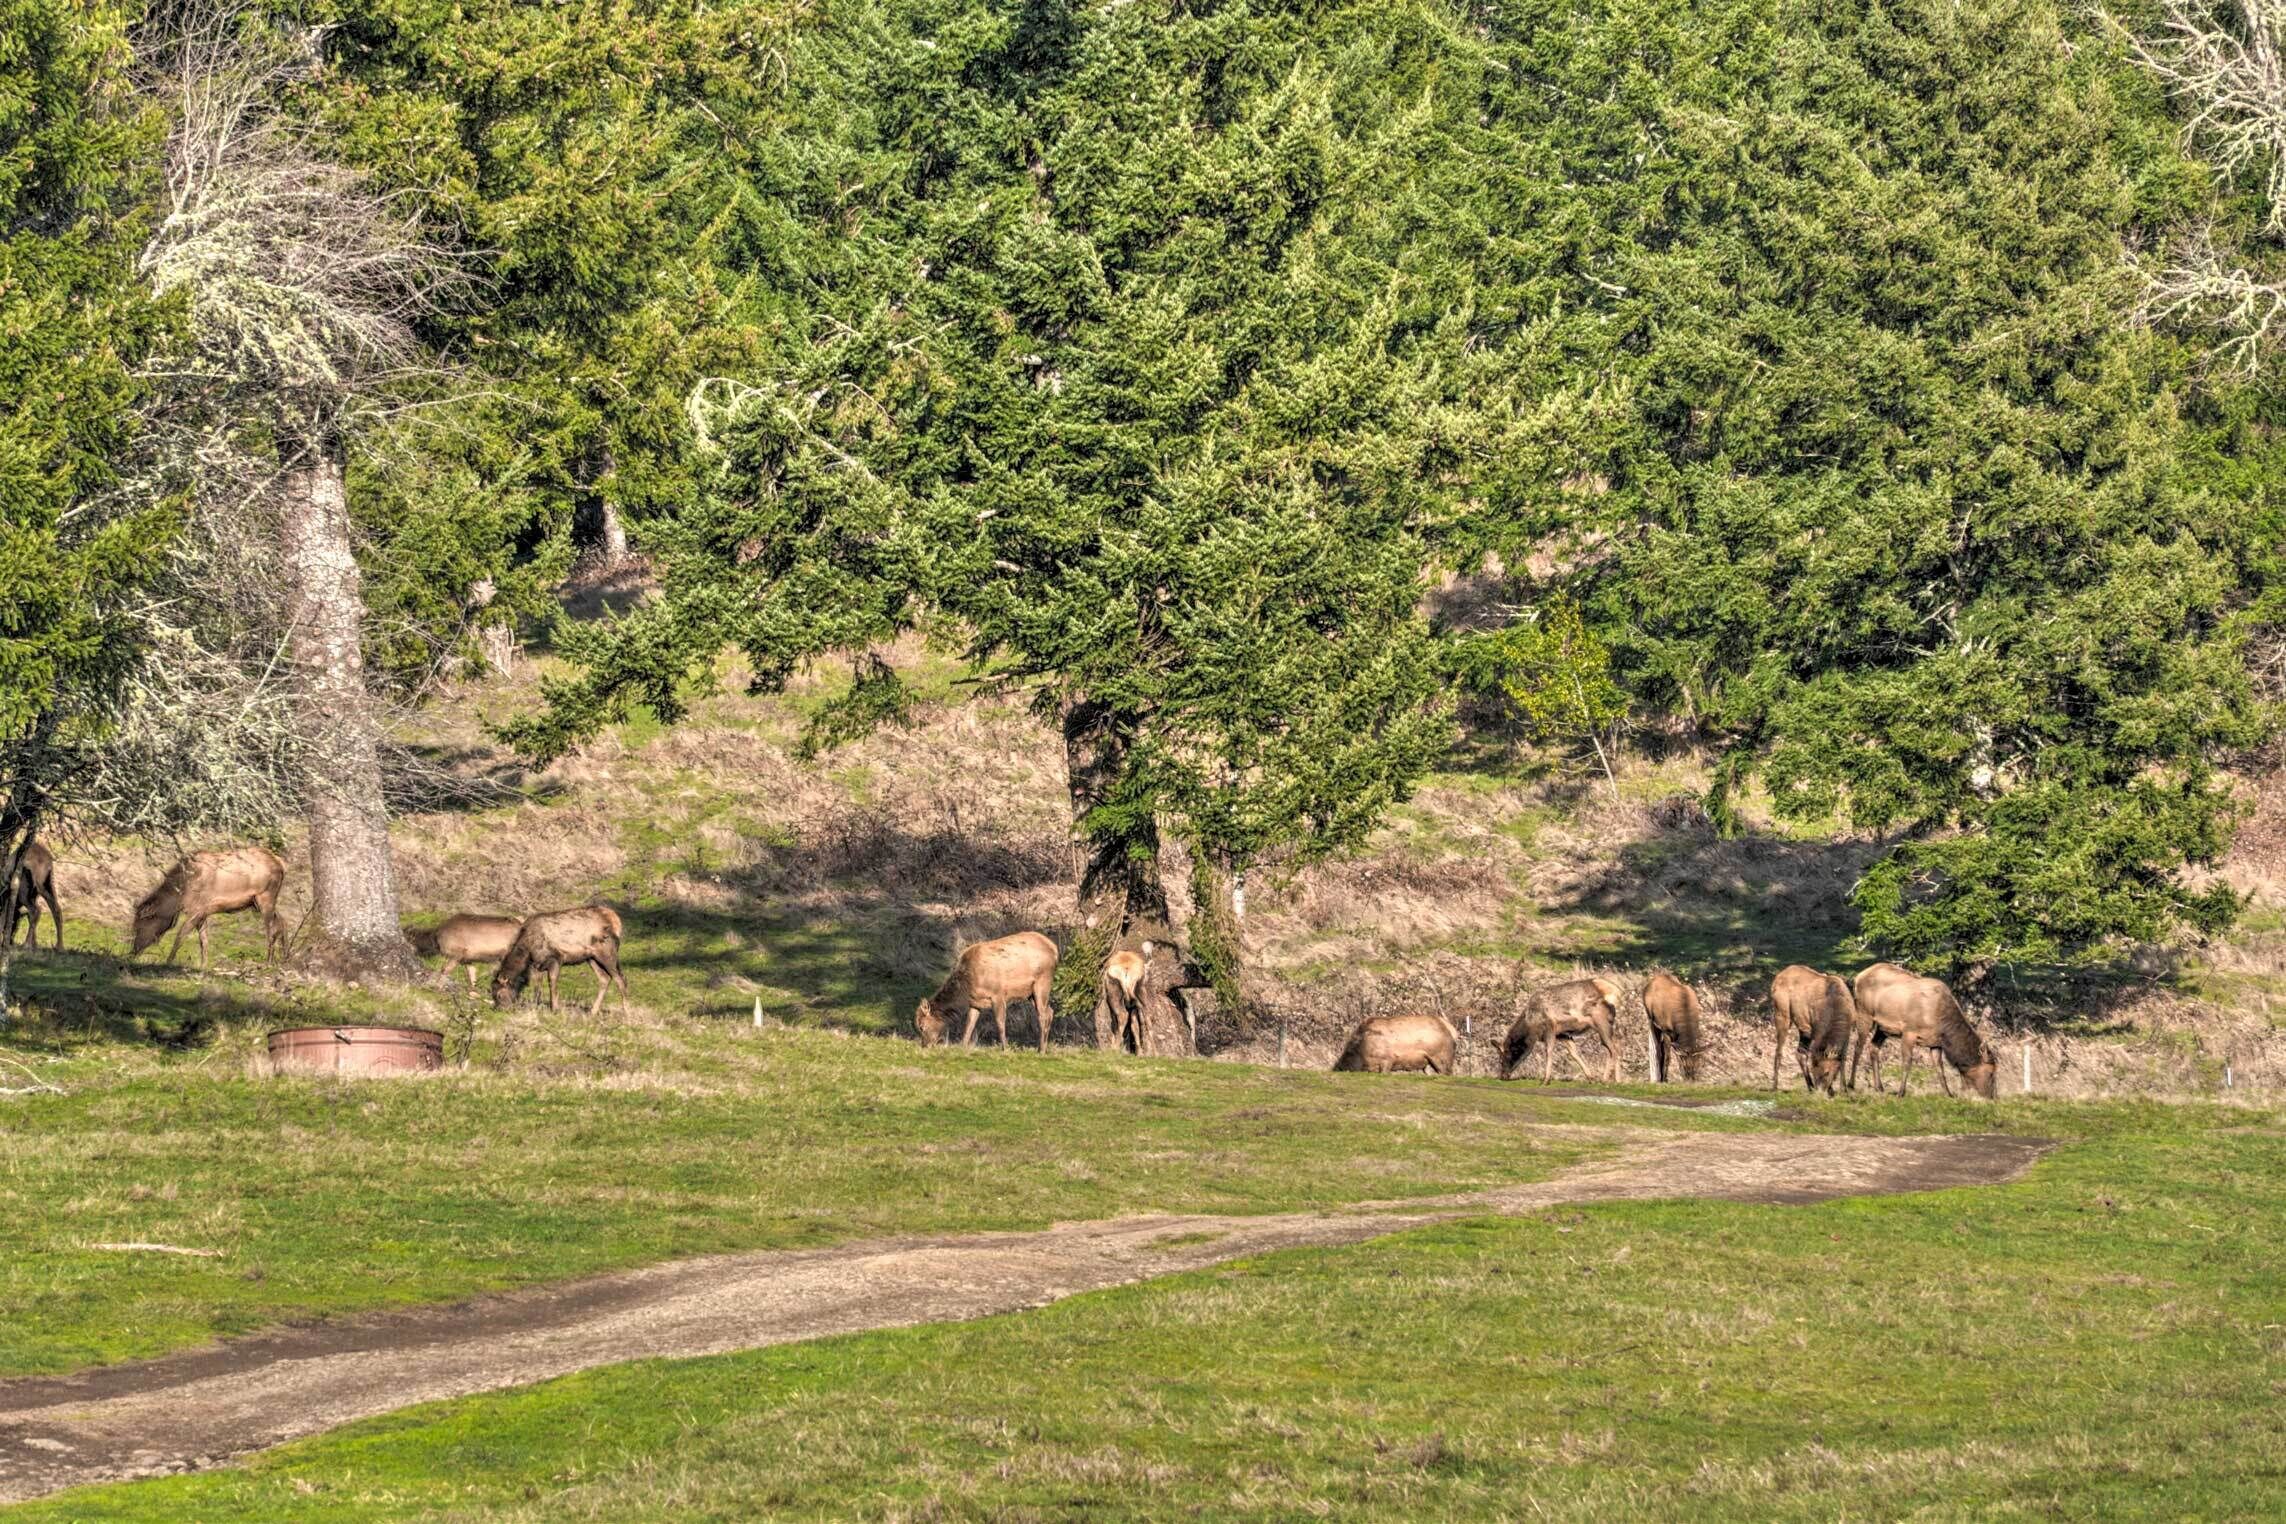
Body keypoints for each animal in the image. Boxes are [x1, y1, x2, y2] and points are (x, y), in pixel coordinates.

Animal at [130, 847, 286, 972]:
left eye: (139, 926)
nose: (133, 951)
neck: (178, 898)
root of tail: (281, 864)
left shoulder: (196, 909)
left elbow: (180, 936)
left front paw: (168, 961)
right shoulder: (203, 912)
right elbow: (204, 941)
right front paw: (203, 966)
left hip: (265, 896)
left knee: (271, 928)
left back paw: (268, 963)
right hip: (258, 902)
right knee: (281, 922)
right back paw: (285, 957)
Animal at [491, 906, 630, 1017]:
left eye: (499, 995)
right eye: (492, 993)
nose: (499, 1010)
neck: (527, 951)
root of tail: (616, 921)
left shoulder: (556, 959)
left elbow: (552, 983)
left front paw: (555, 1008)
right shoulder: (538, 965)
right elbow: (538, 986)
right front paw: (536, 1005)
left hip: (607, 953)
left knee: (620, 979)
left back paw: (626, 1012)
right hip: (592, 958)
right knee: (605, 978)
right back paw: (593, 1011)